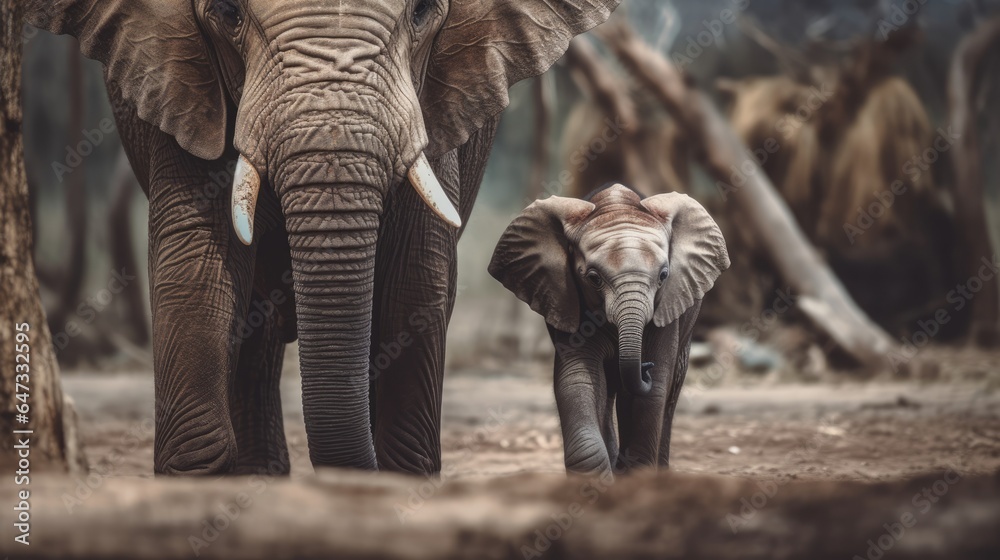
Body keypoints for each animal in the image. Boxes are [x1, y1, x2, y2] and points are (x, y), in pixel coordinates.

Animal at [488, 184, 729, 474]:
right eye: (593, 278)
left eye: (663, 276)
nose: (645, 367)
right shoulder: (569, 301)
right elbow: (576, 378)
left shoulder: (668, 311)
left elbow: (655, 391)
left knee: (667, 392)